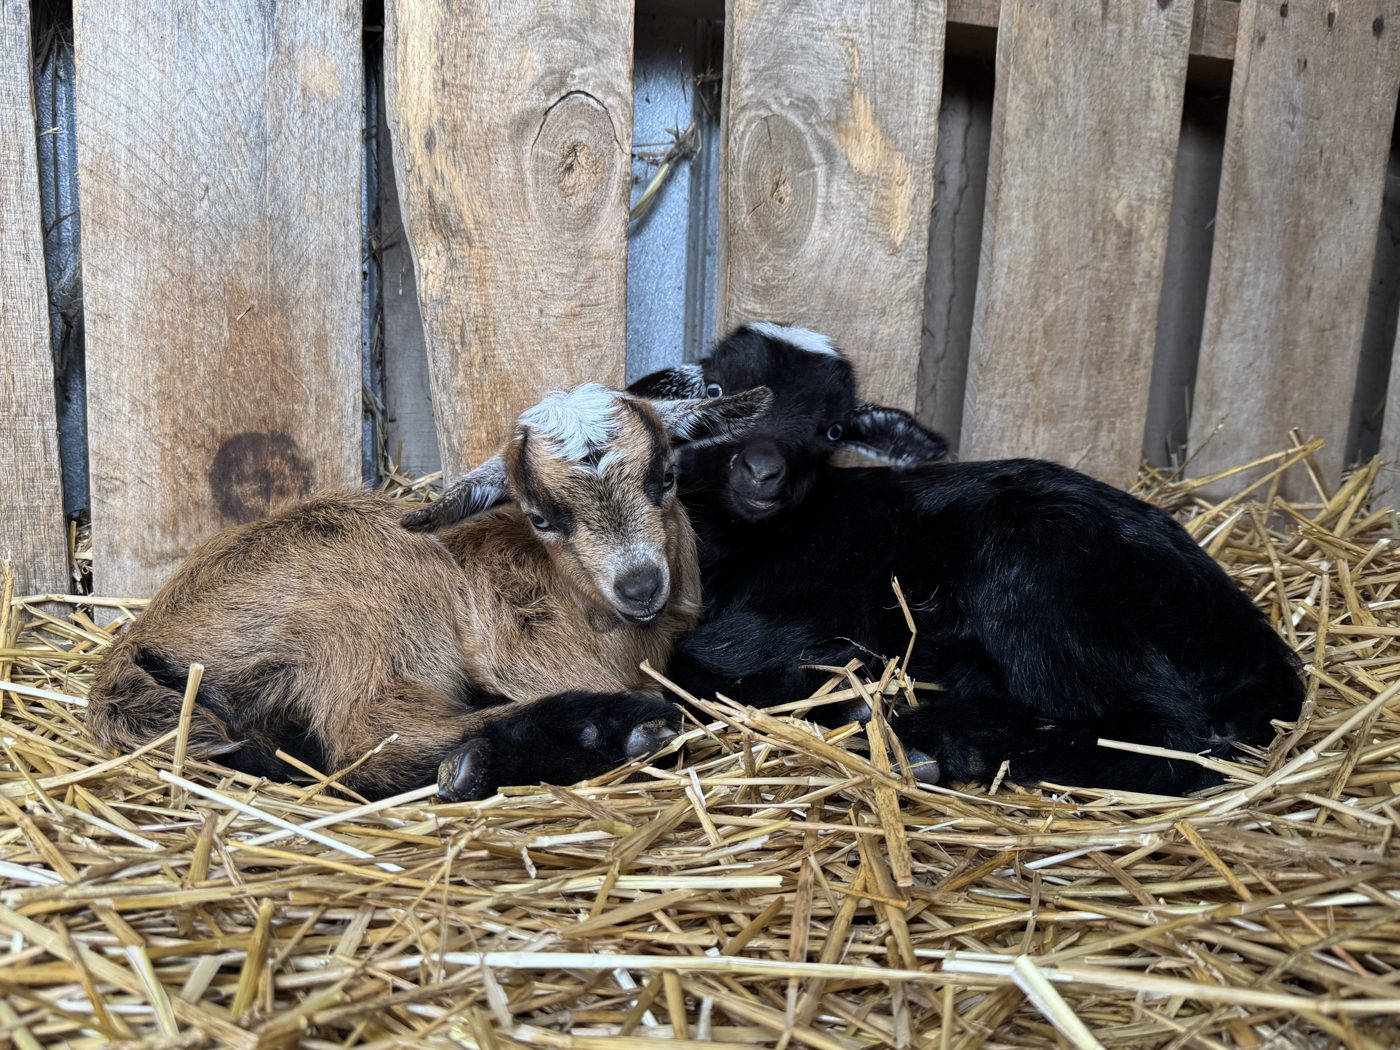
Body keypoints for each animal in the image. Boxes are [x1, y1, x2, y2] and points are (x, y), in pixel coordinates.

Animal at [87, 383, 771, 801]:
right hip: (371, 614)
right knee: (369, 740)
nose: (638, 584)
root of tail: (134, 646)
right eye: (541, 517)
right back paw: (589, 736)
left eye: (668, 476)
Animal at [626, 324, 1304, 795]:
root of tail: (1241, 636)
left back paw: (939, 744)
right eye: (718, 390)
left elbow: (691, 665)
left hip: (1041, 581)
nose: (763, 471)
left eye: (833, 430)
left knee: (1164, 737)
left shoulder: (810, 622)